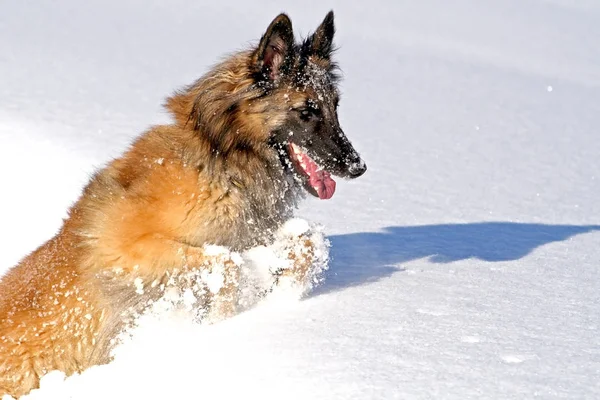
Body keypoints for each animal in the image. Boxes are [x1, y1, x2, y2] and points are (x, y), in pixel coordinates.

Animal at [0, 10, 366, 398]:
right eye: (307, 112)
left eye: (335, 107)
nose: (358, 166)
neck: (221, 162)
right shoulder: (122, 249)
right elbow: (226, 265)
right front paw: (223, 317)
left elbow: (305, 240)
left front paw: (283, 292)